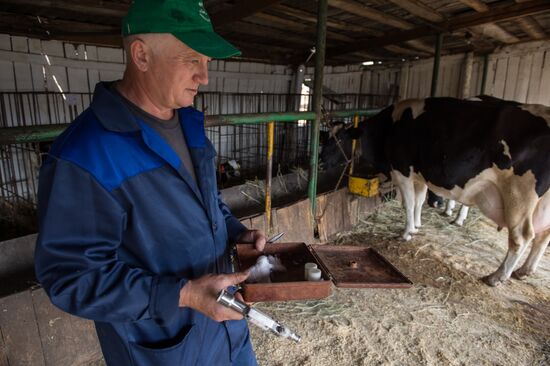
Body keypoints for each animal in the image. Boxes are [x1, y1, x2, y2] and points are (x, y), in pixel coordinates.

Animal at [324, 96, 550, 286]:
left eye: (340, 139)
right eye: (326, 138)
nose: (320, 160)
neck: (388, 129)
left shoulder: (403, 171)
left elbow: (409, 203)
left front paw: (407, 232)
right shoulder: (420, 175)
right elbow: (418, 201)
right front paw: (417, 225)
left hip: (519, 195)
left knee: (522, 236)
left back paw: (496, 277)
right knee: (542, 236)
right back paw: (524, 271)